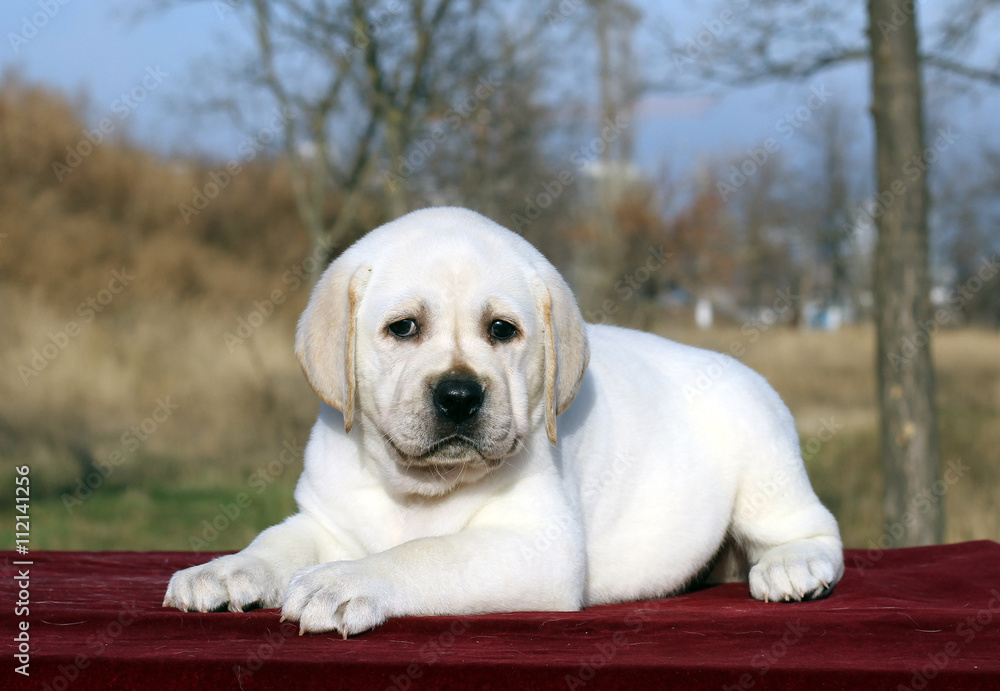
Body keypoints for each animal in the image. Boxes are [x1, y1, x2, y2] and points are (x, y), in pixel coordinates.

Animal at [166, 207, 844, 636]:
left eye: (502, 330)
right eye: (403, 328)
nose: (460, 395)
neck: (418, 489)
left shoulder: (537, 547)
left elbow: (426, 554)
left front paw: (345, 582)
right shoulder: (324, 520)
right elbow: (273, 543)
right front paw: (222, 570)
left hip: (764, 464)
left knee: (814, 529)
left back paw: (791, 567)